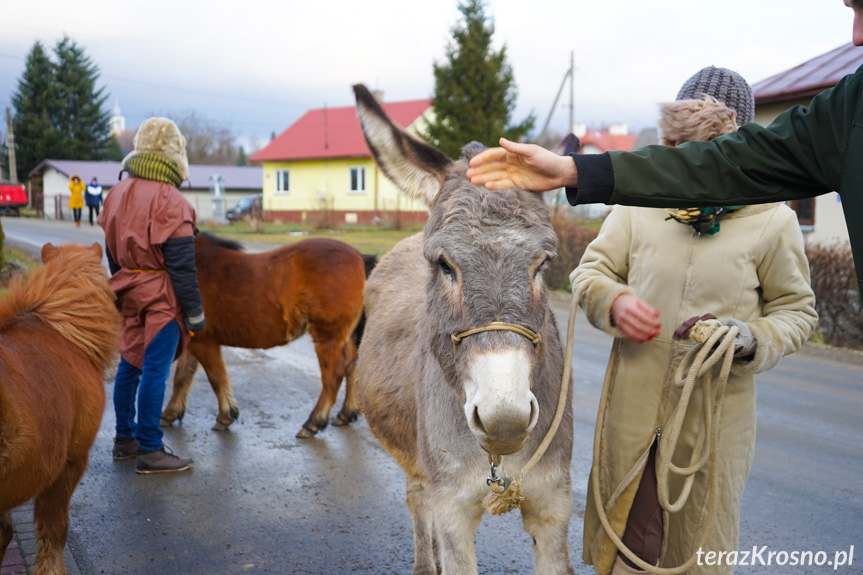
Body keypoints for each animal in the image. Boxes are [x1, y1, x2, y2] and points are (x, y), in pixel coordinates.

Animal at [160, 232, 366, 438]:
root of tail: (359, 256)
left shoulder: (204, 342)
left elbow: (216, 378)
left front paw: (226, 415)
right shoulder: (194, 341)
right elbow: (181, 378)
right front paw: (170, 414)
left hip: (328, 337)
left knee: (333, 377)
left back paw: (313, 423)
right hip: (344, 338)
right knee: (352, 368)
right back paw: (345, 414)